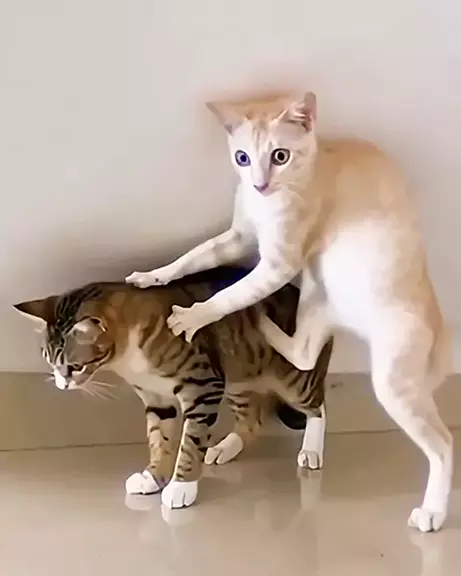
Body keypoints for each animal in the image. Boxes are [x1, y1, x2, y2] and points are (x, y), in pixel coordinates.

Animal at [14, 266, 333, 510]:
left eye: (75, 366)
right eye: (49, 361)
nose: (61, 385)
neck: (130, 356)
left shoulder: (203, 386)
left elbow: (190, 442)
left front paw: (182, 486)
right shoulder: (156, 397)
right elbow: (160, 439)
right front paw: (153, 477)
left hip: (292, 377)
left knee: (317, 406)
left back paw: (311, 450)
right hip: (236, 378)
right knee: (252, 418)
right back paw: (224, 448)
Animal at [126, 92, 452, 532]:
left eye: (280, 155)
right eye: (242, 157)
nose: (260, 184)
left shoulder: (278, 263)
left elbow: (228, 295)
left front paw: (193, 316)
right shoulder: (238, 238)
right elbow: (191, 258)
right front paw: (152, 276)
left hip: (392, 380)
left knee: (442, 445)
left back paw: (432, 510)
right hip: (315, 292)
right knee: (304, 354)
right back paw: (265, 327)